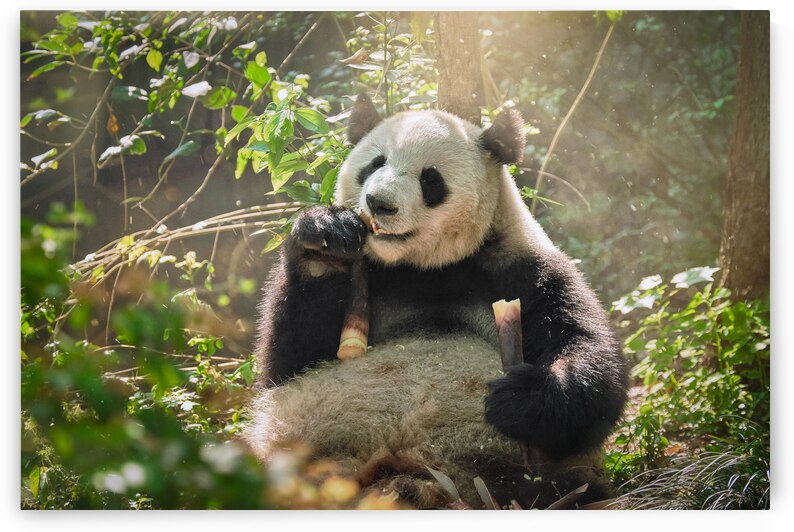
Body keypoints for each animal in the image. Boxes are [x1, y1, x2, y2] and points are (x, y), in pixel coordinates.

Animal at [242, 94, 628, 509]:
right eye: (374, 164)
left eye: (430, 179)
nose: (378, 204)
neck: (425, 268)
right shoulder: (370, 278)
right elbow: (288, 361)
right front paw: (325, 237)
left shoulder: (523, 270)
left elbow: (590, 357)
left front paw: (520, 397)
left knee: (557, 487)